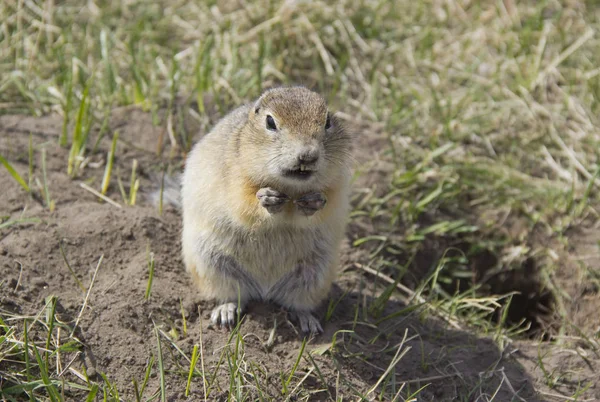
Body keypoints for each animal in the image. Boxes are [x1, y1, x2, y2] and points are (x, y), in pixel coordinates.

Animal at [180, 87, 354, 332]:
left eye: (328, 120)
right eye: (270, 122)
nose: (308, 155)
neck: (290, 189)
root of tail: (264, 289)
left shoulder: (337, 184)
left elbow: (327, 204)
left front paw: (314, 201)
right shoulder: (235, 176)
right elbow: (242, 202)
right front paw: (267, 198)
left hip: (315, 275)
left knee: (296, 303)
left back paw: (308, 322)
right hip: (212, 264)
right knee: (232, 295)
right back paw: (225, 312)